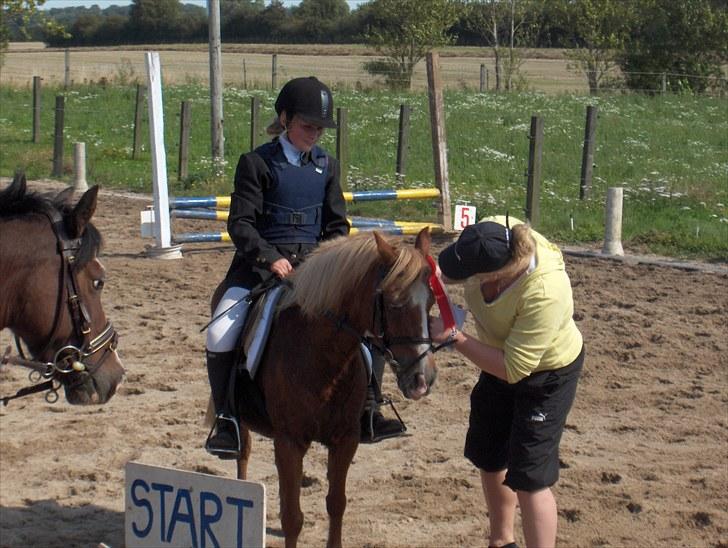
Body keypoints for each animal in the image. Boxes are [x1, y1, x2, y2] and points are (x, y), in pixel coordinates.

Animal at [212, 226, 438, 544]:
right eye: (394, 303)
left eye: (431, 302)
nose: (422, 379)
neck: (324, 357)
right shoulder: (289, 442)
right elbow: (293, 518)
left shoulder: (345, 440)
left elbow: (336, 504)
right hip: (240, 420)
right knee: (242, 457)